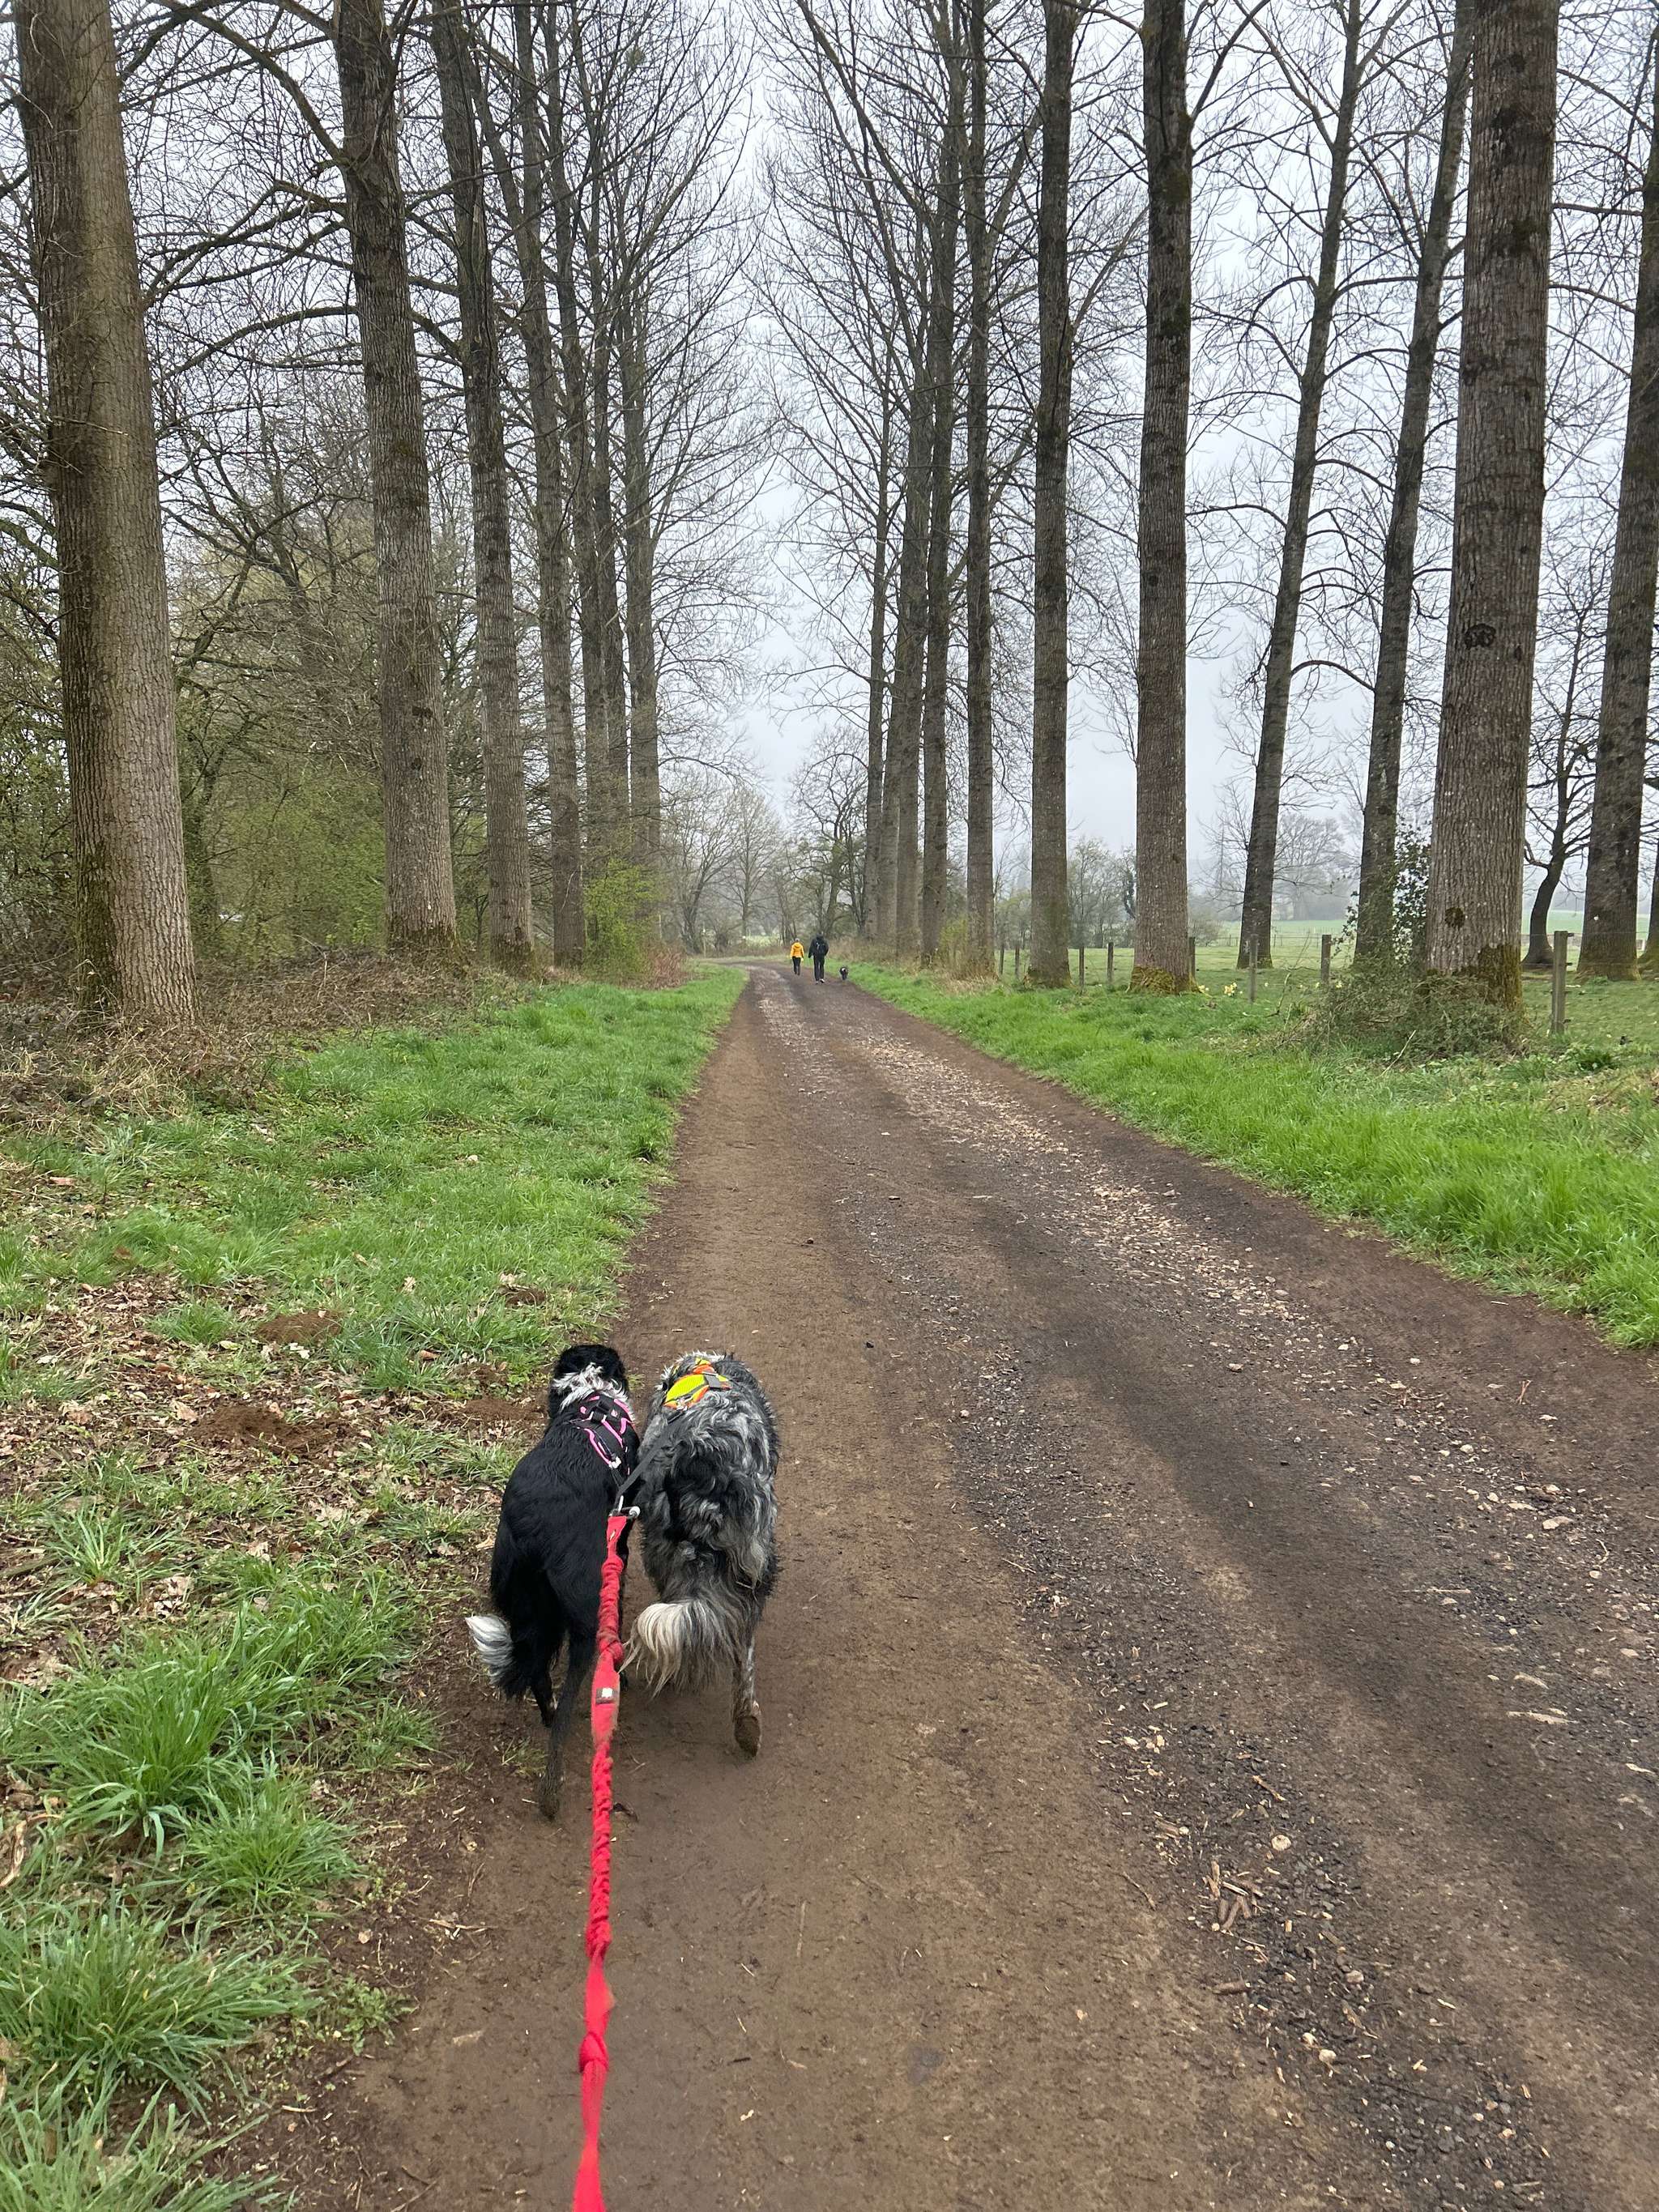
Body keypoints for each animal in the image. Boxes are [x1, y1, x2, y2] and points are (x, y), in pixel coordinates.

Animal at [465, 1343, 638, 1820]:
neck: (592, 1398)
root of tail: (534, 1531)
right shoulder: (620, 1545)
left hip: (524, 1603)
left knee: (538, 1675)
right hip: (584, 1605)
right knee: (571, 1692)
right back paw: (552, 1789)